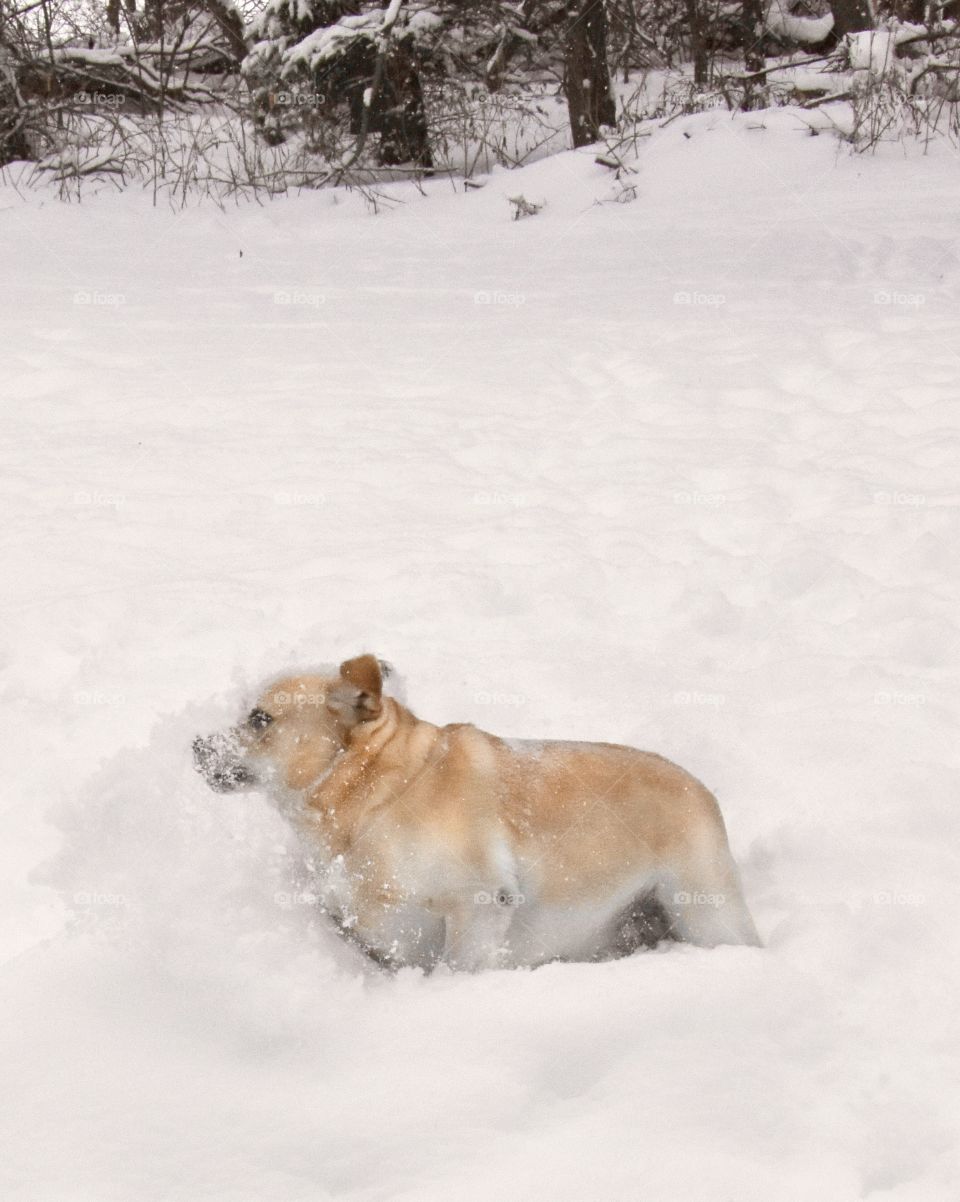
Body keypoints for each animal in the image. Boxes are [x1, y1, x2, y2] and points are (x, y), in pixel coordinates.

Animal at [193, 653, 759, 971]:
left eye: (259, 719)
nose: (197, 745)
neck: (376, 794)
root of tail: (704, 792)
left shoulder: (480, 904)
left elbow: (458, 966)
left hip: (703, 912)